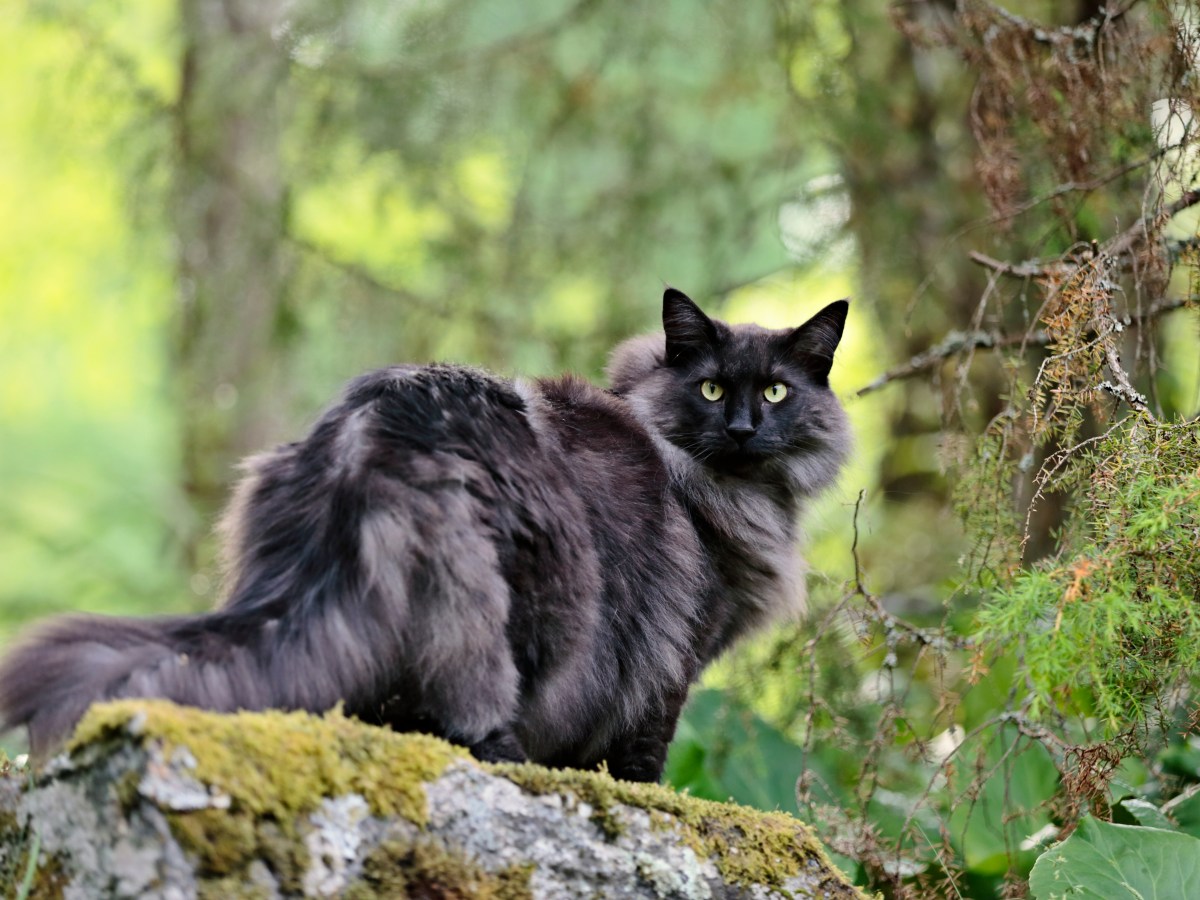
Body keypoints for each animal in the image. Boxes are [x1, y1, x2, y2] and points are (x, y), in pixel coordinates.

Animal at [0, 289, 849, 782]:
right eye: (711, 388)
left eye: (777, 392)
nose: (743, 428)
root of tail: (372, 434)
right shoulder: (674, 657)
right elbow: (642, 755)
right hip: (532, 611)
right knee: (470, 714)